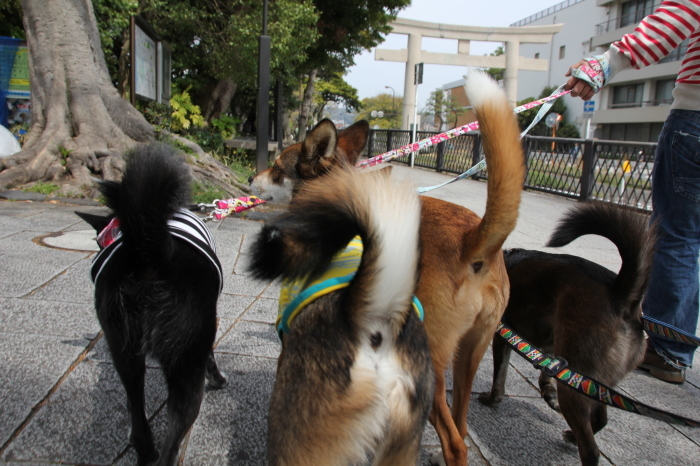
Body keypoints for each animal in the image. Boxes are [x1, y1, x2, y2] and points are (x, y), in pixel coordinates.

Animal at [79, 145, 227, 466]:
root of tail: (151, 250)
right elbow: (211, 357)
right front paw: (219, 379)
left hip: (124, 350)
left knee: (136, 414)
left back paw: (145, 450)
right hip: (186, 361)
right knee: (175, 435)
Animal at [478, 203, 652, 466]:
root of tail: (621, 294)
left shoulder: (501, 336)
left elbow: (499, 377)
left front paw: (491, 399)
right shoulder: (550, 348)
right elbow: (545, 371)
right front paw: (546, 391)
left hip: (576, 383)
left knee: (591, 449)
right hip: (592, 380)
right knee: (601, 418)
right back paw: (571, 435)